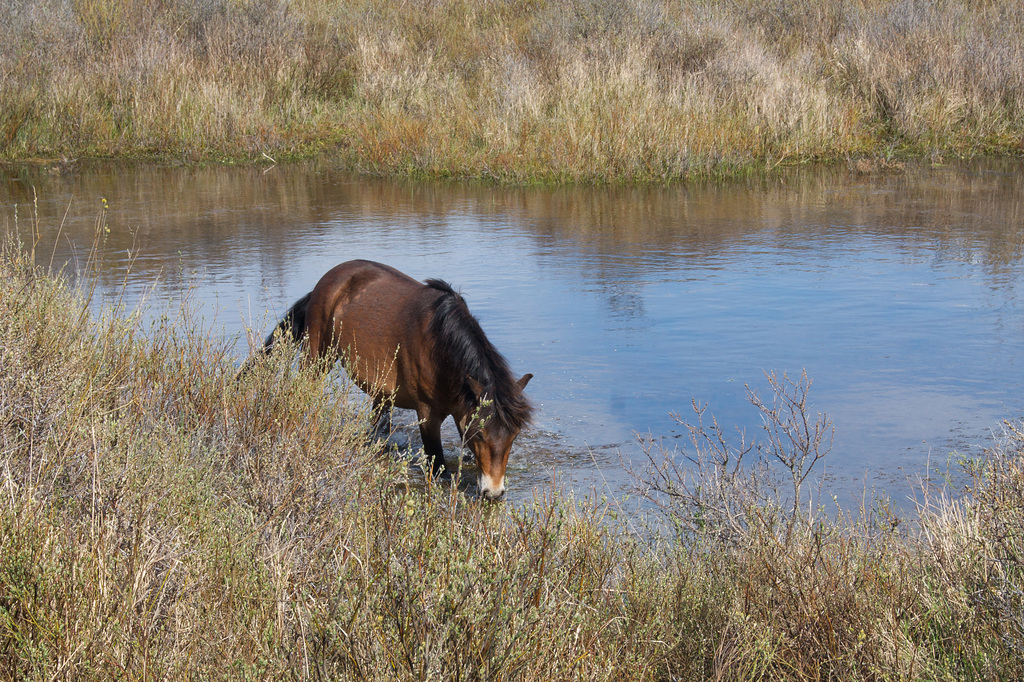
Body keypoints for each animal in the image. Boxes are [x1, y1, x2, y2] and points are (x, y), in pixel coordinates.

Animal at [251, 258, 532, 497]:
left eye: (513, 437)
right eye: (479, 435)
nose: (493, 493)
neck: (439, 345)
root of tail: (327, 281)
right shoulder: (427, 415)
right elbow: (436, 467)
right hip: (317, 359)